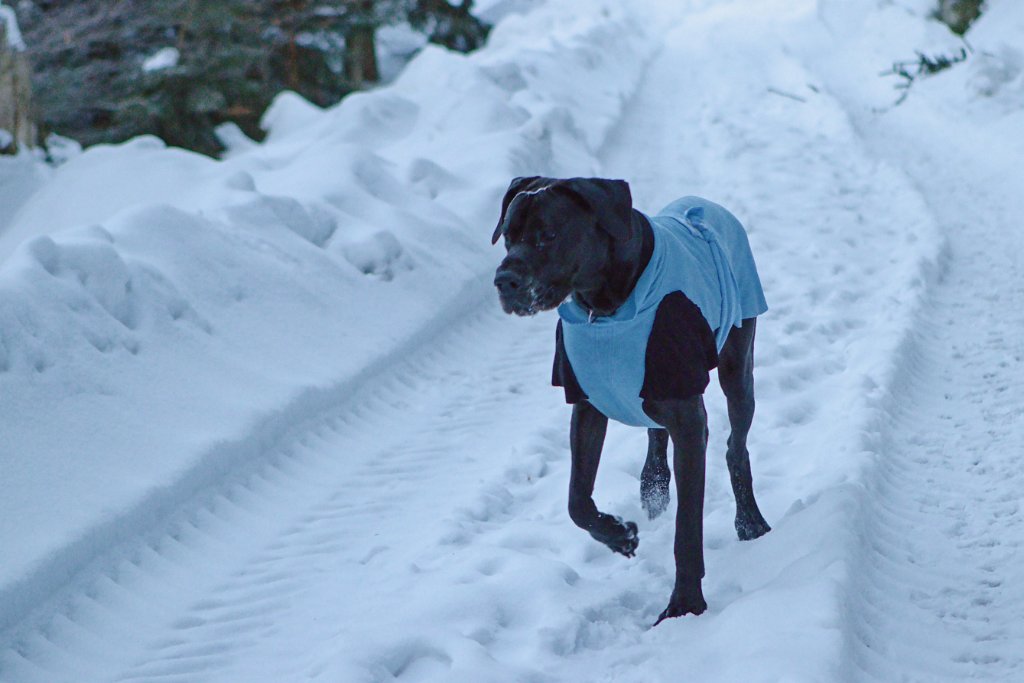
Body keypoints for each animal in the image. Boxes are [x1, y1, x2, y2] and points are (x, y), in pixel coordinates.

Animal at [493, 175, 770, 626]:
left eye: (547, 235)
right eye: (508, 237)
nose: (504, 281)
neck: (606, 306)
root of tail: (708, 205)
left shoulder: (689, 421)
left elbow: (686, 530)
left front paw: (684, 606)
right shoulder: (587, 404)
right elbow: (576, 500)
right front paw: (619, 534)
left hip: (737, 365)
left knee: (735, 446)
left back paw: (749, 522)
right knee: (656, 431)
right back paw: (653, 484)